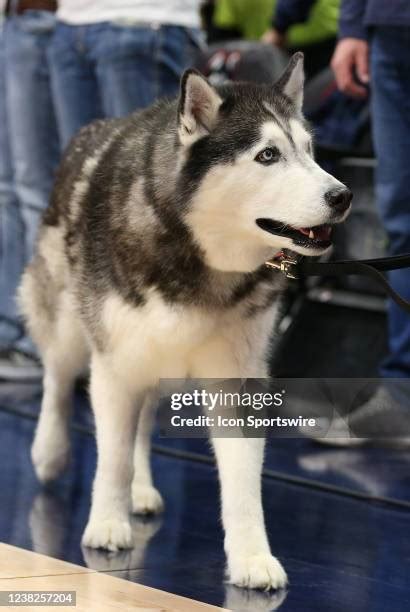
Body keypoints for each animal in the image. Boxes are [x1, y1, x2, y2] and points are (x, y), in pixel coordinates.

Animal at [19, 55, 350, 592]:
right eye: (267, 155)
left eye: (309, 151)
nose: (342, 195)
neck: (197, 257)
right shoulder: (115, 363)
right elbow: (110, 456)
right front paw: (106, 523)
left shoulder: (237, 379)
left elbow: (241, 482)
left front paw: (251, 557)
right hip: (72, 319)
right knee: (58, 375)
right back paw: (50, 451)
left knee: (139, 421)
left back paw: (140, 487)